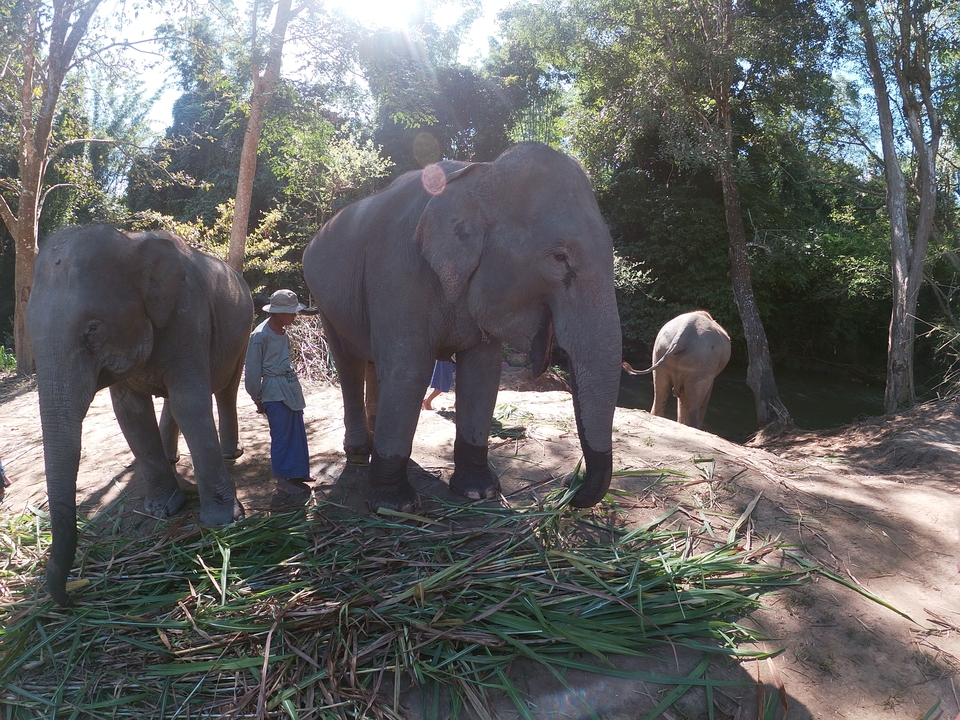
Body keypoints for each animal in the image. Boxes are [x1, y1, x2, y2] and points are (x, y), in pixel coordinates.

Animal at [26, 225, 253, 606]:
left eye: (93, 328)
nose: (73, 596)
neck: (133, 245)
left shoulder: (188, 318)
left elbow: (191, 402)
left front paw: (224, 520)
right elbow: (130, 413)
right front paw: (162, 510)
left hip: (244, 332)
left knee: (225, 389)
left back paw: (229, 452)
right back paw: (173, 458)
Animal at [303, 142, 622, 511]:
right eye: (559, 258)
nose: (570, 482)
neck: (479, 173)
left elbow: (482, 374)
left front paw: (478, 492)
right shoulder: (397, 271)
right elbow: (408, 371)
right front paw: (394, 505)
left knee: (371, 364)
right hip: (324, 299)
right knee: (348, 363)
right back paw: (358, 451)